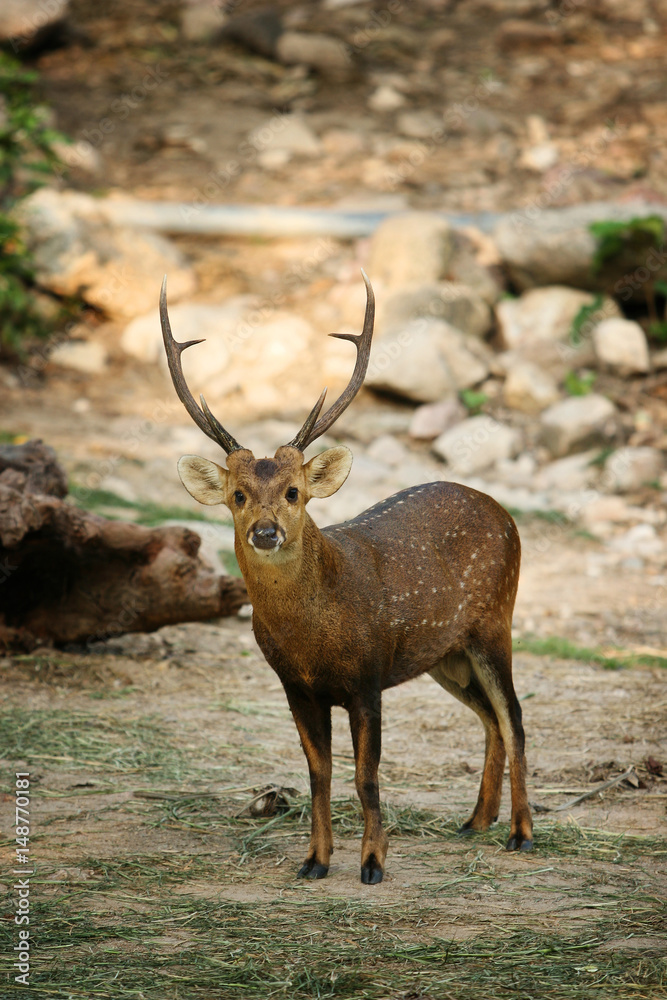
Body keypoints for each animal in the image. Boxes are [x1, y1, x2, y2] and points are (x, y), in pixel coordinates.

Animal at [159, 271, 533, 885]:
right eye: (237, 495)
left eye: (294, 492)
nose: (265, 531)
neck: (313, 642)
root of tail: (502, 510)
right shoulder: (295, 687)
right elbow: (320, 775)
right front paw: (314, 860)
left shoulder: (367, 677)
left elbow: (366, 776)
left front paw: (373, 864)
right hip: (444, 655)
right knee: (490, 721)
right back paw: (476, 821)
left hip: (495, 620)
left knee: (515, 717)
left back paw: (521, 833)